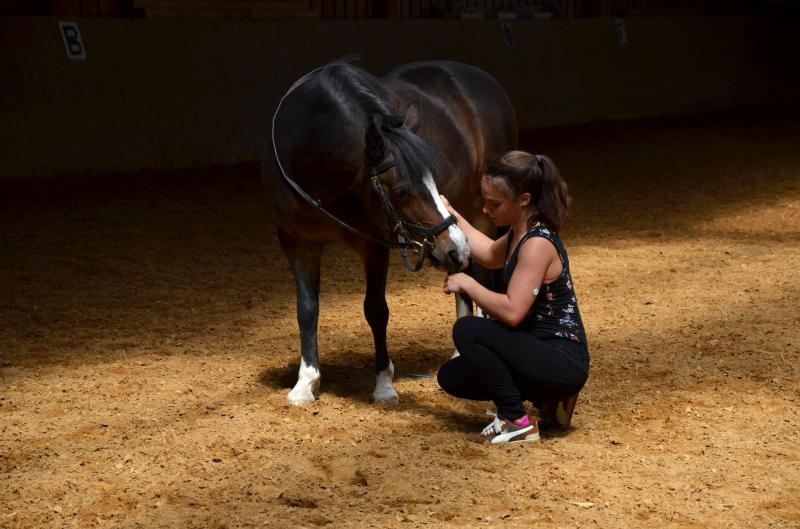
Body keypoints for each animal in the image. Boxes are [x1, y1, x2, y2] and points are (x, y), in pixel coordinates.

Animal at [266, 59, 518, 404]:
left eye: (432, 179)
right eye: (401, 191)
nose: (455, 246)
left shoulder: (374, 245)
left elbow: (375, 309)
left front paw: (384, 384)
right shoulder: (297, 243)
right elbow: (306, 309)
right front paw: (305, 382)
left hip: (479, 216)